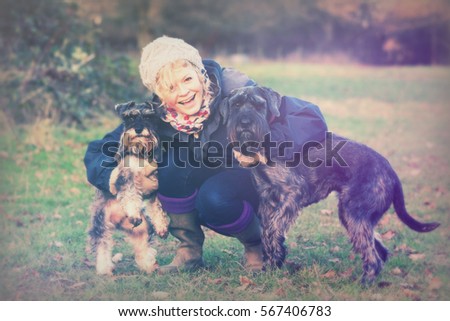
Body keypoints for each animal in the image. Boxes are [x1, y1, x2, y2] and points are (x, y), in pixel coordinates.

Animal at [88, 100, 169, 276]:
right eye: (129, 117)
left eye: (148, 117)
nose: (138, 129)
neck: (141, 151)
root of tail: (118, 222)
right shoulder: (126, 175)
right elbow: (130, 195)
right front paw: (133, 210)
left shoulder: (155, 182)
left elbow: (156, 206)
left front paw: (161, 225)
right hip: (101, 223)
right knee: (102, 246)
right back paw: (104, 269)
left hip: (142, 229)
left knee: (142, 248)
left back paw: (149, 265)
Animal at [225, 85, 440, 282]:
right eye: (236, 105)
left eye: (258, 105)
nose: (245, 122)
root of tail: (391, 171)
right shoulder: (268, 198)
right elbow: (267, 230)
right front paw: (271, 265)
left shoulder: (291, 193)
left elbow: (272, 229)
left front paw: (273, 263)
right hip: (354, 217)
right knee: (379, 248)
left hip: (354, 214)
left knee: (373, 256)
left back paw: (363, 283)